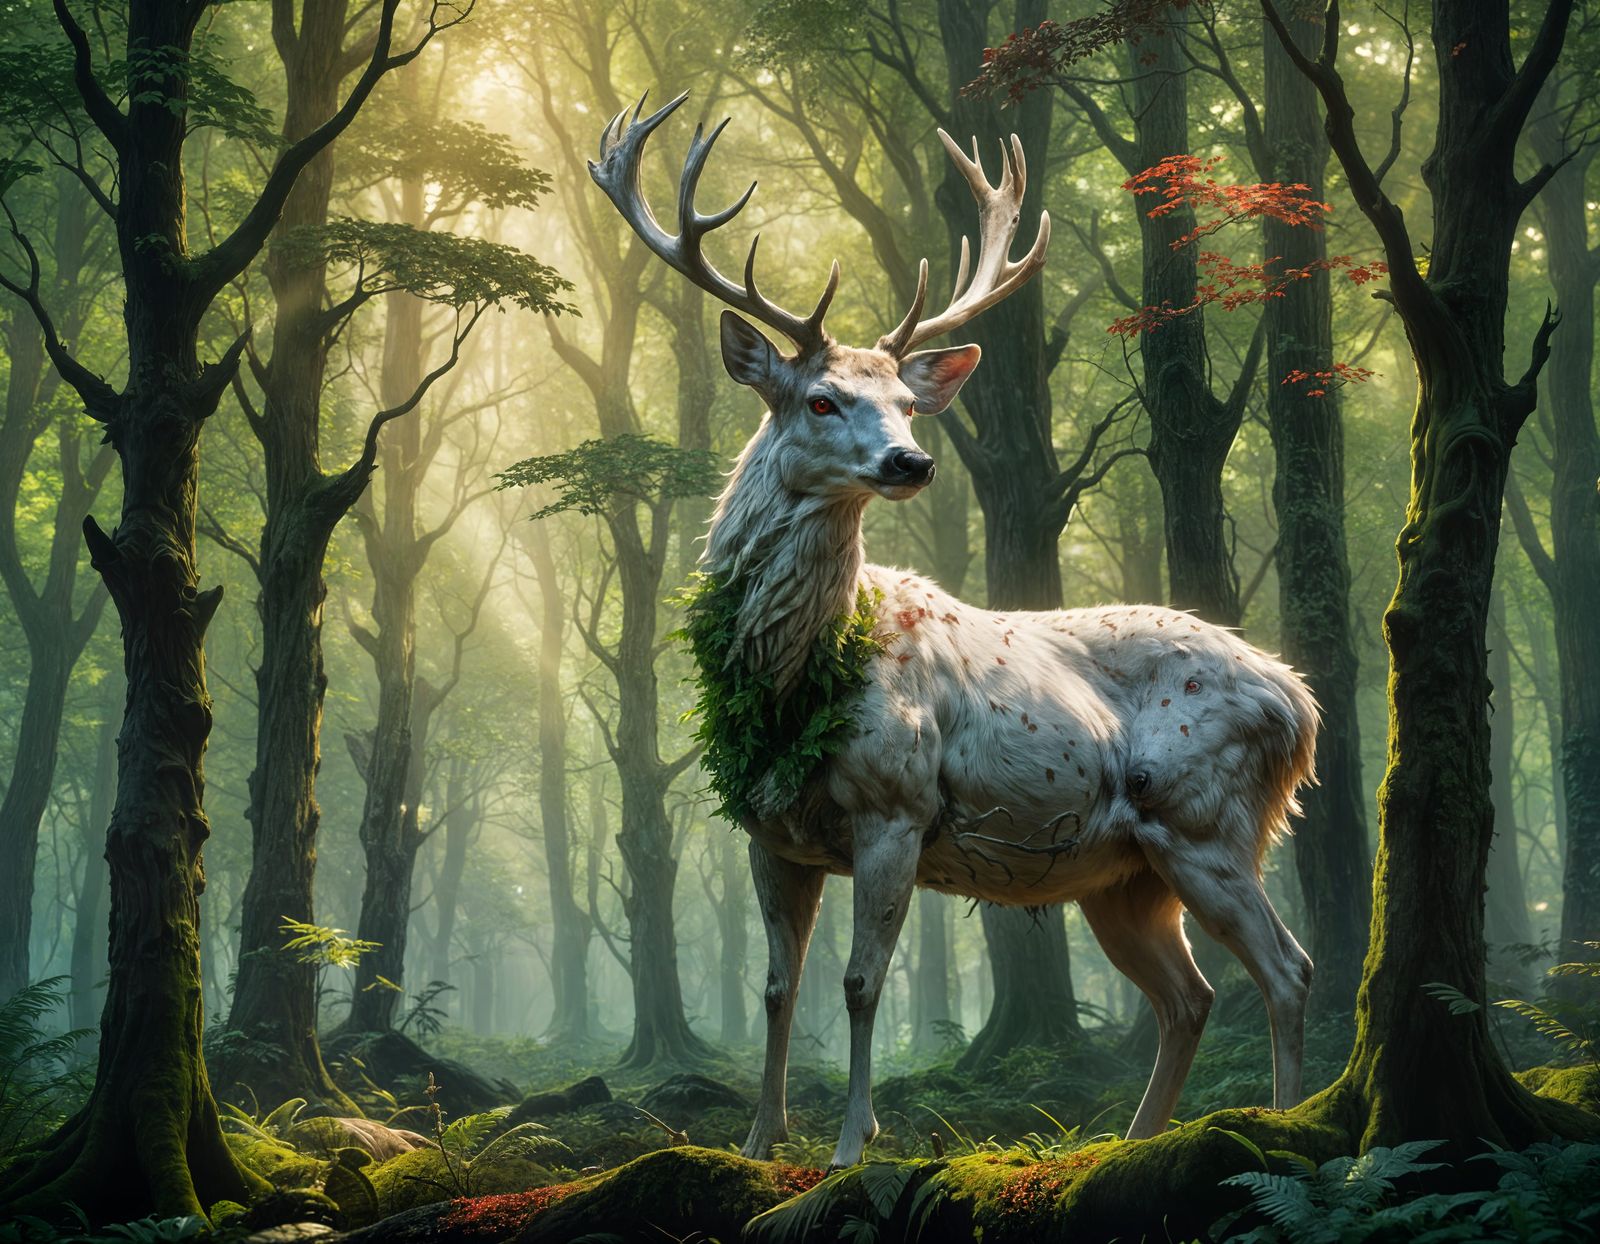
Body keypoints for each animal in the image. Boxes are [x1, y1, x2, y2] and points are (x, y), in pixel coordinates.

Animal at [590, 92, 1319, 1169]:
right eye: (821, 398)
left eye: (903, 400)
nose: (911, 460)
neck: (794, 675)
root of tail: (1300, 704)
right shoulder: (770, 832)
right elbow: (775, 988)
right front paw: (760, 1141)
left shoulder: (894, 806)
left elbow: (858, 984)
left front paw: (852, 1147)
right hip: (1124, 874)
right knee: (1188, 996)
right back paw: (1130, 1141)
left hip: (1207, 817)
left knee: (1288, 968)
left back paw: (1283, 1123)